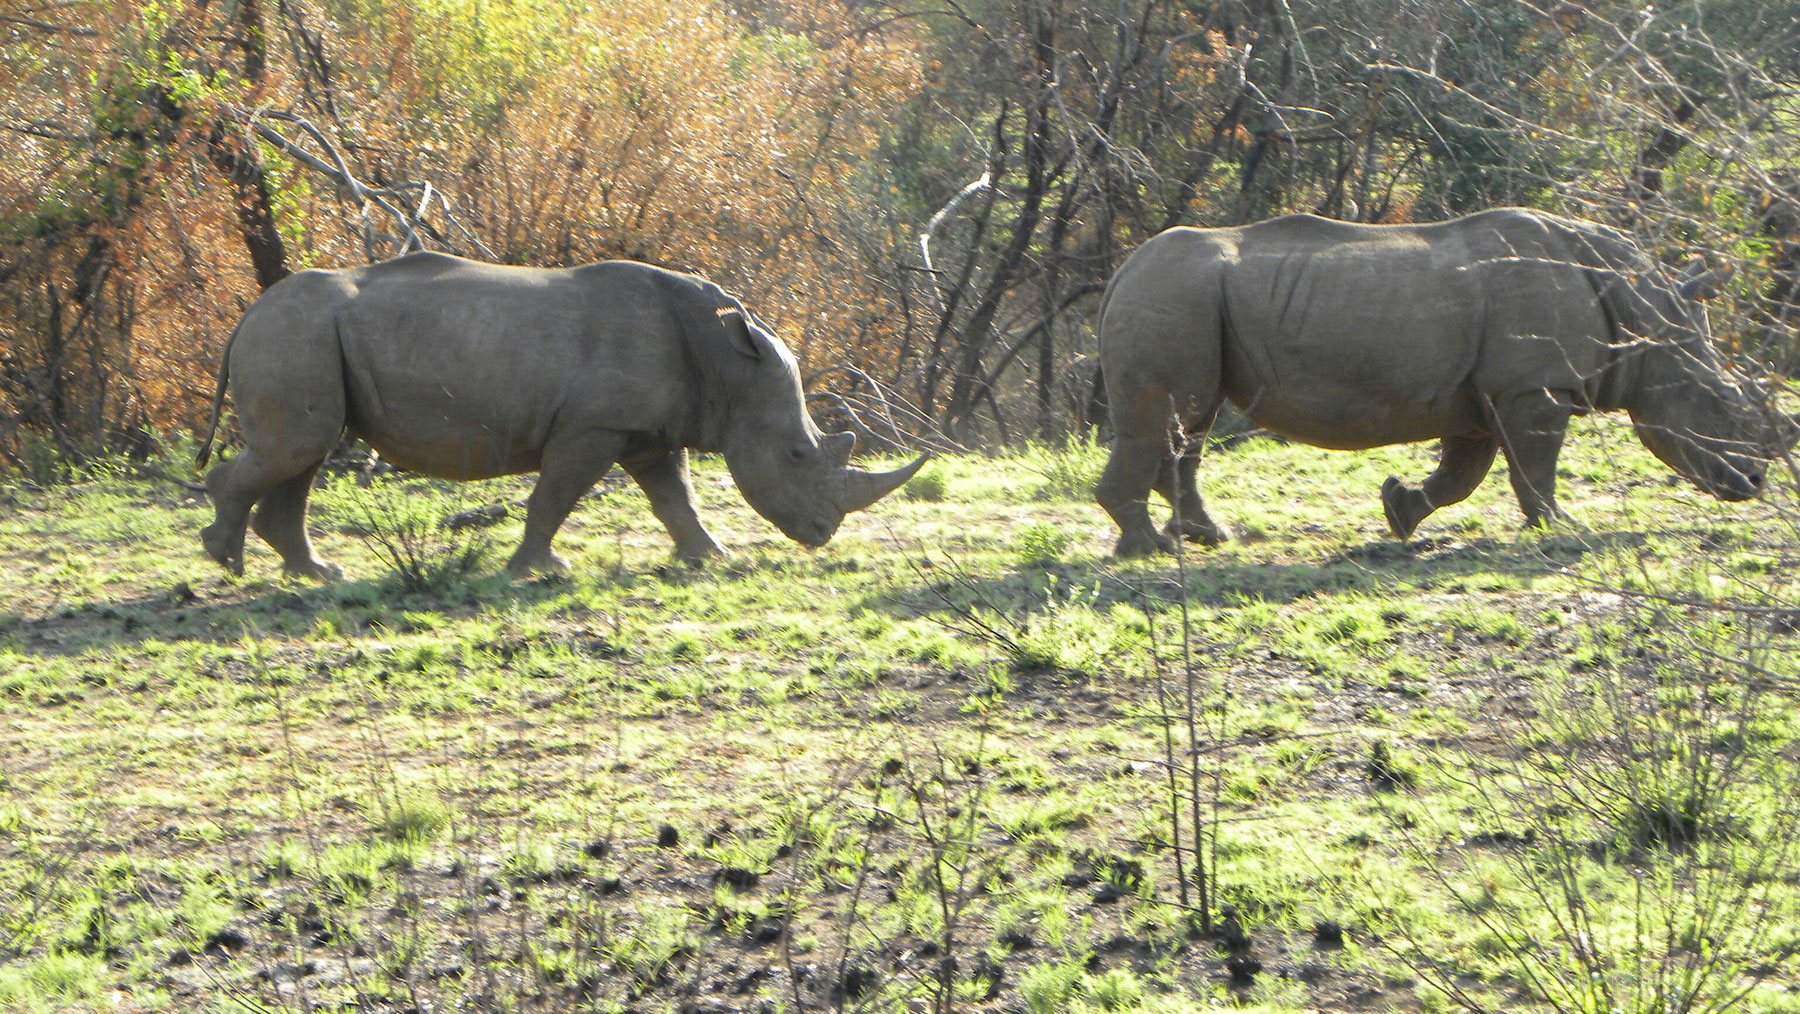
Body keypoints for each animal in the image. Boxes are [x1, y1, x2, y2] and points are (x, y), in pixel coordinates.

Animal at [195, 252, 926, 579]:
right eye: (799, 455)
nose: (822, 533)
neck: (727, 362)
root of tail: (245, 316)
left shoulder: (647, 430)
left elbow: (675, 496)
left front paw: (710, 557)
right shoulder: (593, 427)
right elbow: (556, 494)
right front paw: (540, 571)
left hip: (304, 338)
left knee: (305, 451)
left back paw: (316, 575)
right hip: (294, 336)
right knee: (296, 448)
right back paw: (227, 560)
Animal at [1095, 208, 1794, 555]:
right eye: (1719, 406)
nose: (1752, 484)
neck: (1644, 317)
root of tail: (1120, 272)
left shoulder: (1484, 393)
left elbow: (1463, 473)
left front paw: (1399, 511)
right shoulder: (1532, 387)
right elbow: (1534, 464)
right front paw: (1559, 528)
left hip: (1182, 298)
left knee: (1190, 425)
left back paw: (1206, 538)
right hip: (1174, 295)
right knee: (1166, 419)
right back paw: (1145, 549)